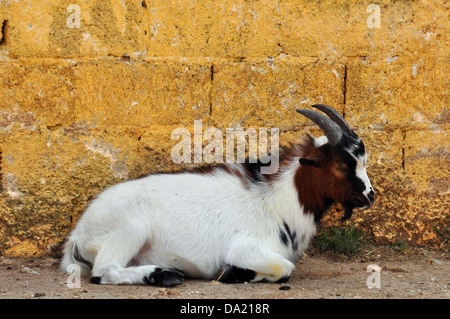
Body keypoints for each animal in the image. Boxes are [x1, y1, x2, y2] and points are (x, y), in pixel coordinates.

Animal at [61, 104, 374, 288]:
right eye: (342, 166)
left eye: (363, 161)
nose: (370, 196)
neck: (273, 200)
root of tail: (78, 233)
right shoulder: (246, 248)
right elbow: (285, 268)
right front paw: (232, 273)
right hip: (128, 230)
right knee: (104, 272)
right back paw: (163, 274)